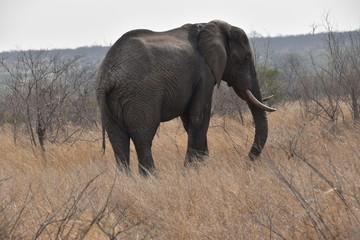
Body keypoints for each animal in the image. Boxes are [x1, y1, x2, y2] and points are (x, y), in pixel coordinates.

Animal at [95, 19, 276, 175]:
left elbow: (189, 120)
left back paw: (125, 180)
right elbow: (199, 116)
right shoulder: (204, 72)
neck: (208, 25)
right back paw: (152, 178)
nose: (246, 162)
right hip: (141, 95)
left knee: (118, 140)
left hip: (110, 102)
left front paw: (201, 165)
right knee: (143, 138)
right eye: (245, 58)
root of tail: (109, 76)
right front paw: (192, 169)